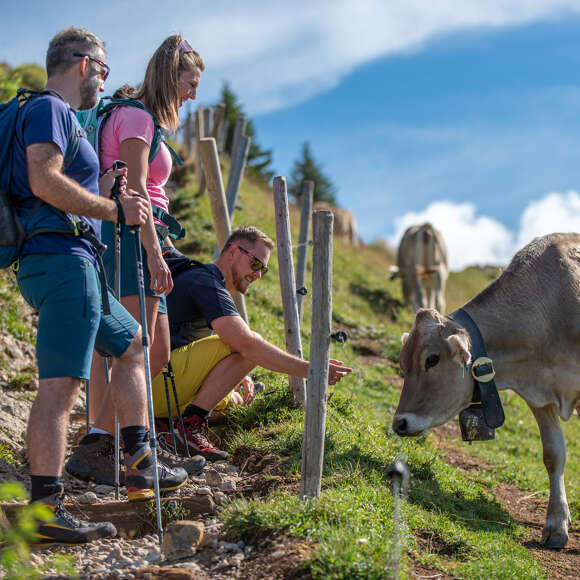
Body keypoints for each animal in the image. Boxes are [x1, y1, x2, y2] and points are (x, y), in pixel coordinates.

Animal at [392, 232, 580, 548]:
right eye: (405, 362)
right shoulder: (540, 396)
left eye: (431, 359)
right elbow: (554, 455)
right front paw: (556, 524)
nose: (399, 423)